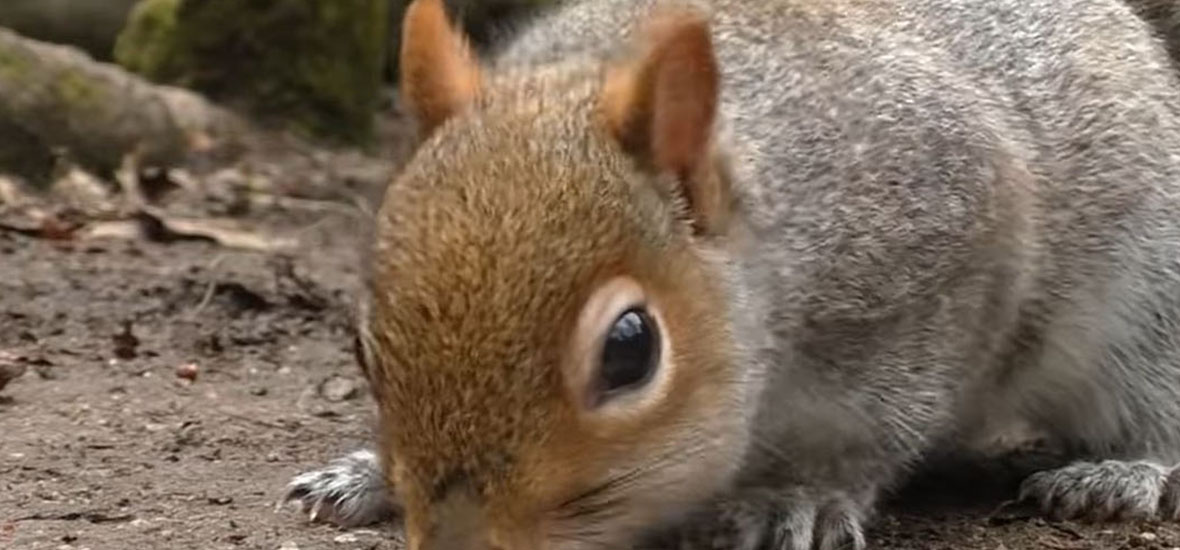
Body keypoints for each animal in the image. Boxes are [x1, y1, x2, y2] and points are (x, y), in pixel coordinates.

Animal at [282, 0, 1180, 548]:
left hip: (1148, 296)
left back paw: (1119, 472)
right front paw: (368, 473)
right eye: (363, 349)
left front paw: (800, 495)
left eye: (630, 351)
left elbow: (875, 429)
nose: (463, 539)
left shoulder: (946, 257)